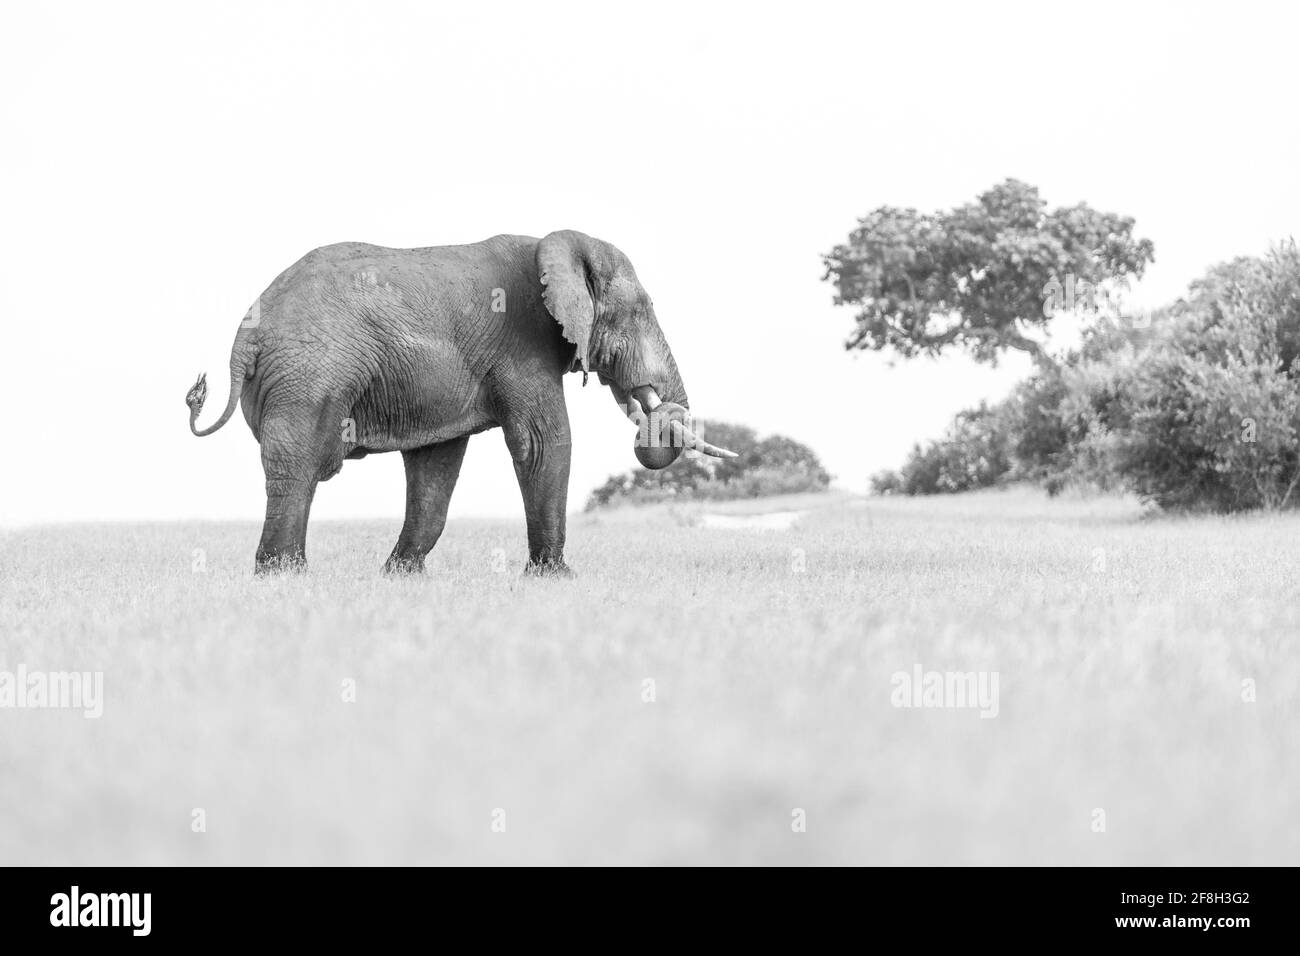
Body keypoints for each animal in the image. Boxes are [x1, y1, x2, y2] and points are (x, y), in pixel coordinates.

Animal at [184, 230, 735, 575]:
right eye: (641, 311)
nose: (658, 411)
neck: (554, 245)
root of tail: (245, 334)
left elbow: (436, 464)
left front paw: (401, 578)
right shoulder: (523, 345)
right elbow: (543, 443)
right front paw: (557, 579)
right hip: (310, 374)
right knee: (299, 465)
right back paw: (283, 576)